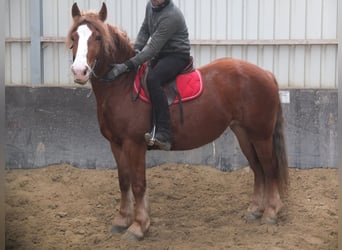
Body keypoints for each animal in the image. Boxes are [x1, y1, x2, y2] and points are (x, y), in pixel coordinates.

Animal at [67, 2, 288, 240]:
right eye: (74, 36)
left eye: (98, 37)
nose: (79, 71)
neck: (122, 86)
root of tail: (266, 73)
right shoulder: (116, 144)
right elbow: (124, 181)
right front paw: (122, 220)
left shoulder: (134, 144)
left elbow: (138, 184)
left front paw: (139, 226)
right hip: (244, 134)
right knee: (257, 168)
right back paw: (255, 210)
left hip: (261, 135)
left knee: (269, 168)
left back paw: (271, 212)